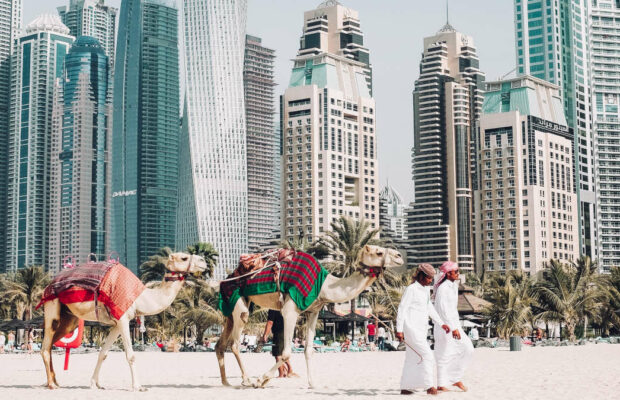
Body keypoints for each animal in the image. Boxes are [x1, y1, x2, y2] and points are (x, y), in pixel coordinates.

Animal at [40, 253, 208, 390]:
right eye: (184, 258)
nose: (204, 261)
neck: (140, 298)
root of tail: (48, 285)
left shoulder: (116, 323)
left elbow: (103, 353)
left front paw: (95, 384)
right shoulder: (123, 319)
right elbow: (130, 355)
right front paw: (138, 387)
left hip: (69, 318)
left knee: (53, 342)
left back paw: (54, 382)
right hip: (52, 304)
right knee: (46, 345)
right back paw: (51, 384)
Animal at [216, 244, 404, 388]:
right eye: (378, 252)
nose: (400, 256)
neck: (323, 286)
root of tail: (226, 279)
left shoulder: (313, 312)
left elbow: (308, 350)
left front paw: (312, 383)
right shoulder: (290, 310)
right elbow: (286, 353)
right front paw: (261, 380)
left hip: (231, 308)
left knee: (220, 344)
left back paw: (226, 382)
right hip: (239, 302)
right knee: (235, 343)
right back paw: (247, 380)